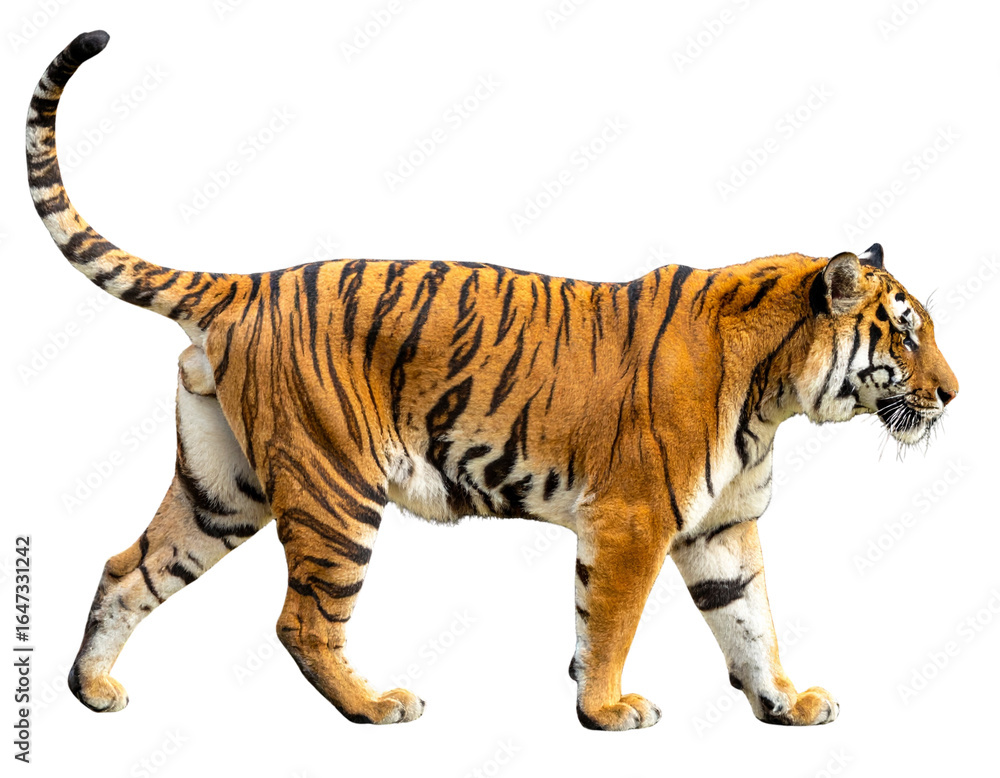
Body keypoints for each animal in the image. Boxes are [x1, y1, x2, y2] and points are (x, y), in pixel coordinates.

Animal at [28, 31, 958, 730]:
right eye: (907, 332)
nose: (953, 394)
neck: (774, 398)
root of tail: (248, 283)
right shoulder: (633, 519)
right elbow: (611, 620)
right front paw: (608, 710)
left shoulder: (721, 527)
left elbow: (749, 622)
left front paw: (785, 703)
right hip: (335, 487)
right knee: (302, 621)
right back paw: (376, 706)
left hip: (224, 487)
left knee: (129, 568)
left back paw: (93, 690)